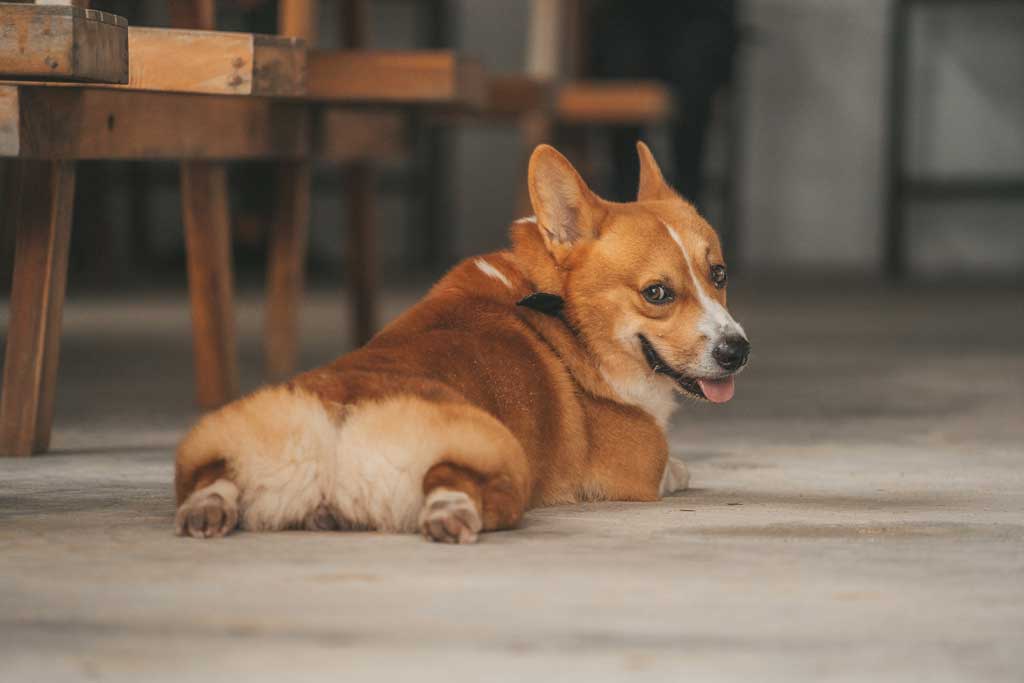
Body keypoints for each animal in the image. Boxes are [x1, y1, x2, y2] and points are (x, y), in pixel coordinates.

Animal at [176, 143, 749, 544]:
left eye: (719, 274)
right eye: (657, 293)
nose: (737, 351)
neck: (562, 309)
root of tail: (337, 418)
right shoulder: (642, 470)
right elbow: (679, 468)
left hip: (219, 437)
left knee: (212, 475)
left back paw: (207, 509)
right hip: (498, 450)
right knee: (454, 478)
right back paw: (451, 515)